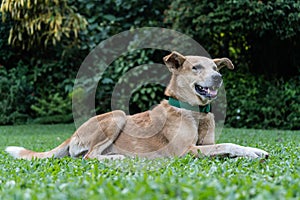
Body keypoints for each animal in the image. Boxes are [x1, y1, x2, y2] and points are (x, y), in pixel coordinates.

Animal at [5, 52, 268, 161]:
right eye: (196, 68)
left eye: (215, 68)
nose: (218, 78)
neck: (194, 113)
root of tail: (73, 135)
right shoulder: (185, 151)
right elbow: (228, 144)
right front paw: (250, 152)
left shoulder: (205, 145)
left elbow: (225, 147)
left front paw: (253, 151)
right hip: (118, 116)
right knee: (89, 157)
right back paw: (120, 159)